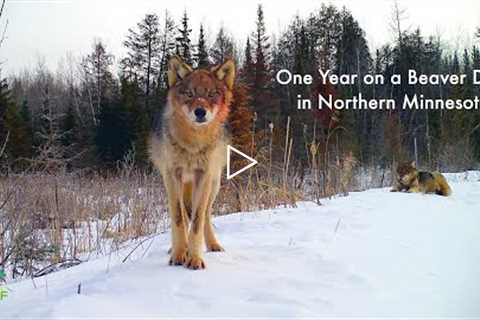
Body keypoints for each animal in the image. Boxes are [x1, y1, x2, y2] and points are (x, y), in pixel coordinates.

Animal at [148, 55, 234, 270]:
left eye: (211, 94)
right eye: (189, 94)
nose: (200, 111)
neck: (192, 145)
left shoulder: (203, 176)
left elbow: (197, 220)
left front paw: (194, 258)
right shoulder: (172, 175)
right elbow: (179, 218)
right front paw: (179, 254)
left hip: (213, 185)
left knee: (205, 215)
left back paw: (212, 245)